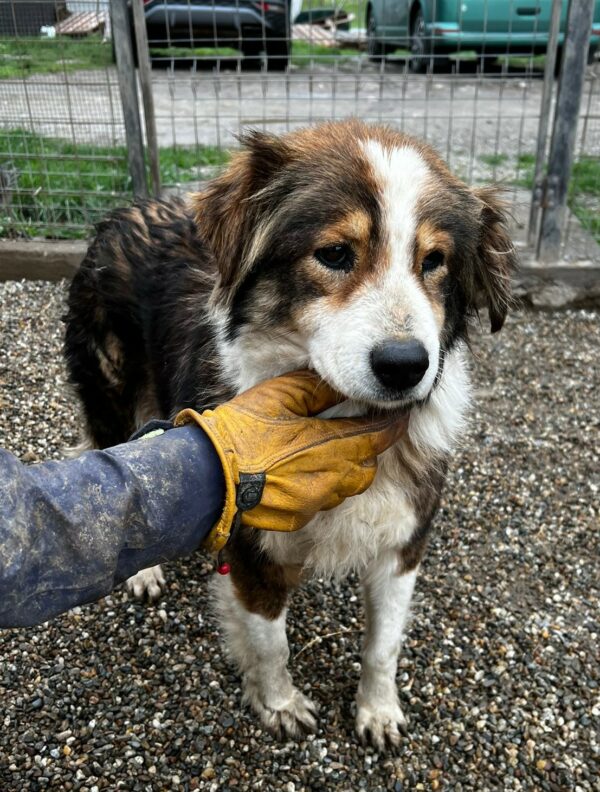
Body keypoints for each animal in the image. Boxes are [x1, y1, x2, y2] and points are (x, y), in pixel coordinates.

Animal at [64, 119, 516, 748]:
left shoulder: (404, 543)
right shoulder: (251, 547)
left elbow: (384, 645)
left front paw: (377, 711)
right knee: (112, 457)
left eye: (435, 261)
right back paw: (144, 568)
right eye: (334, 254)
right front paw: (279, 704)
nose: (406, 366)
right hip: (111, 388)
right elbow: (270, 643)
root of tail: (124, 211)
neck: (346, 417)